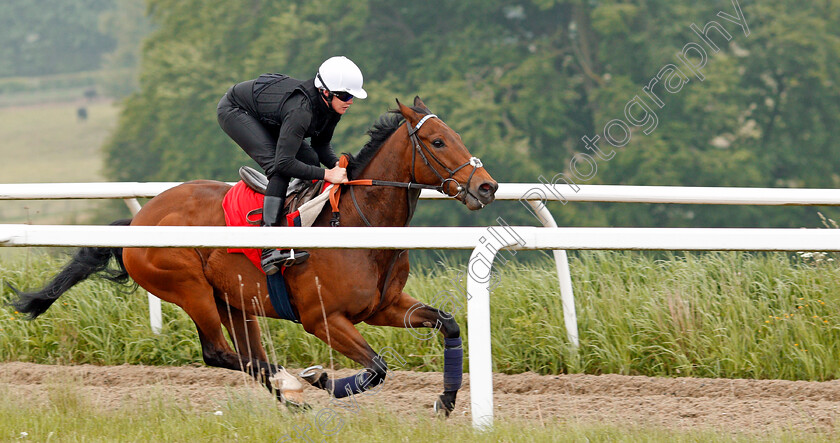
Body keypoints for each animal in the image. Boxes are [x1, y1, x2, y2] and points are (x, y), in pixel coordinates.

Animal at [9, 97, 498, 416]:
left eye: (456, 135)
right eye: (437, 141)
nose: (487, 186)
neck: (359, 224)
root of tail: (139, 220)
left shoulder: (384, 306)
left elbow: (448, 323)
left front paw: (446, 400)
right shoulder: (322, 318)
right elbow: (377, 368)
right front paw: (320, 378)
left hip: (233, 301)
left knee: (245, 356)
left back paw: (293, 400)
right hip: (189, 289)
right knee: (219, 353)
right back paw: (294, 381)